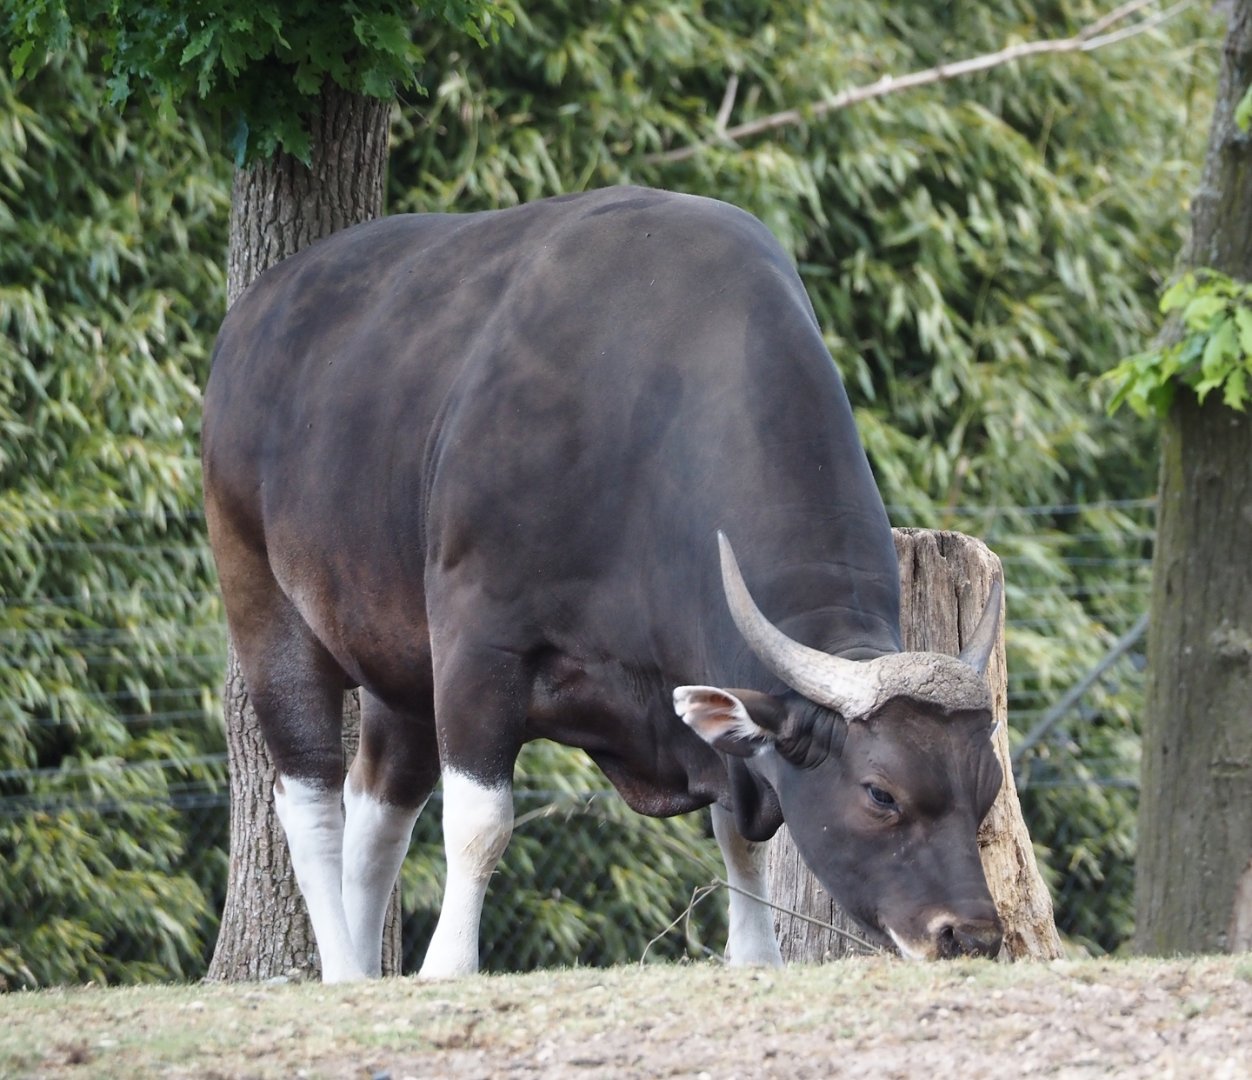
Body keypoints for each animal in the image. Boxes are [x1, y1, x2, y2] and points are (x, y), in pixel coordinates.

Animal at [202, 185, 1006, 982]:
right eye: (881, 793)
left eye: (988, 788)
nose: (969, 934)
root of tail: (249, 322)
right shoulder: (477, 642)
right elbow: (481, 822)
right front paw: (449, 966)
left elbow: (741, 832)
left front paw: (755, 954)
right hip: (263, 604)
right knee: (310, 802)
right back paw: (343, 967)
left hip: (396, 662)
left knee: (377, 812)